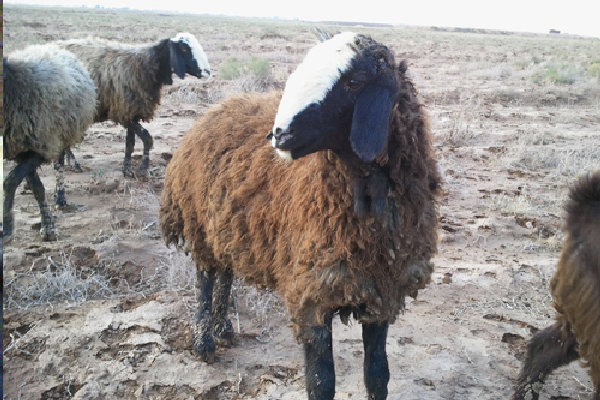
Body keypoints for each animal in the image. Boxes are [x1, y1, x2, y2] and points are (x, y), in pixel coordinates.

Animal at [2, 44, 96, 241]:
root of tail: (51, 47)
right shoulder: (22, 150)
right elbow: (37, 187)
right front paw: (47, 225)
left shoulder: (41, 147)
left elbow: (10, 181)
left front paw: (7, 229)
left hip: (60, 137)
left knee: (59, 164)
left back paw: (60, 197)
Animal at [56, 33, 211, 177]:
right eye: (184, 49)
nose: (207, 72)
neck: (146, 65)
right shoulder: (124, 111)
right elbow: (147, 138)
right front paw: (143, 168)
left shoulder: (132, 112)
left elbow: (130, 143)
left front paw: (127, 170)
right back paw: (70, 163)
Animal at [159, 32, 440, 400]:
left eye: (354, 81)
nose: (279, 135)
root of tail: (219, 108)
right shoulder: (312, 295)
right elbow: (321, 383)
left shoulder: (382, 291)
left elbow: (378, 375)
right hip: (200, 227)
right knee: (206, 278)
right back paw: (204, 340)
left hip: (228, 227)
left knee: (225, 272)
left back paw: (222, 329)